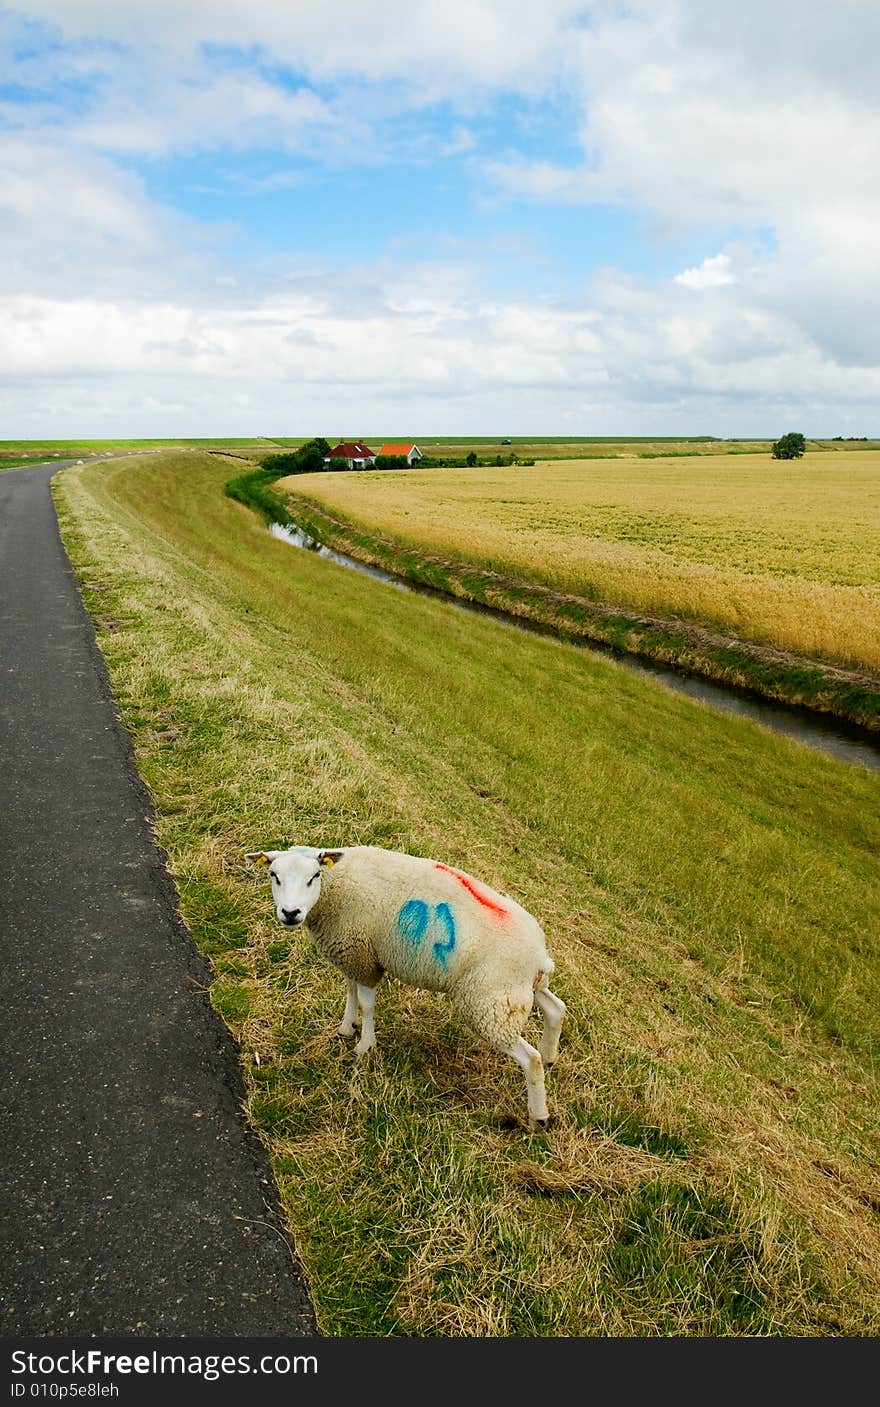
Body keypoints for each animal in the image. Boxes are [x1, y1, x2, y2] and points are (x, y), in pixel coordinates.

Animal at [243, 844, 566, 1131]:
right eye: (273, 875)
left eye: (314, 876)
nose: (290, 912)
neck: (336, 886)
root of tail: (539, 954)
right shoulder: (353, 954)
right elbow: (350, 992)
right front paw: (347, 1028)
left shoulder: (362, 955)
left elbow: (367, 1004)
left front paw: (365, 1046)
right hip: (517, 991)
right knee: (556, 1009)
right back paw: (550, 1055)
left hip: (490, 1002)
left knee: (530, 1060)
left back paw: (538, 1117)